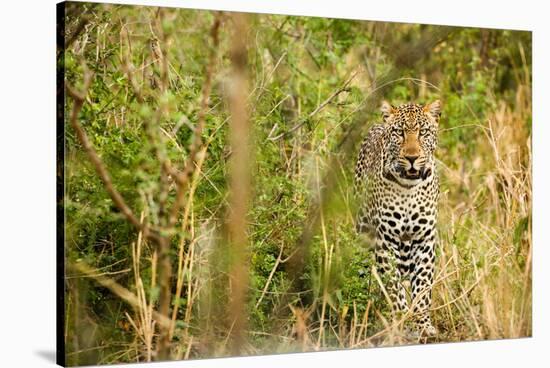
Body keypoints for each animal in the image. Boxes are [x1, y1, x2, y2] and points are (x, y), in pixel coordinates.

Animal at [356, 99, 442, 338]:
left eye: (423, 132)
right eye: (399, 133)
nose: (412, 158)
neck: (408, 189)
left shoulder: (424, 240)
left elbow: (422, 286)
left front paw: (423, 324)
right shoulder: (385, 241)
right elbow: (393, 286)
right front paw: (403, 321)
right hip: (363, 230)